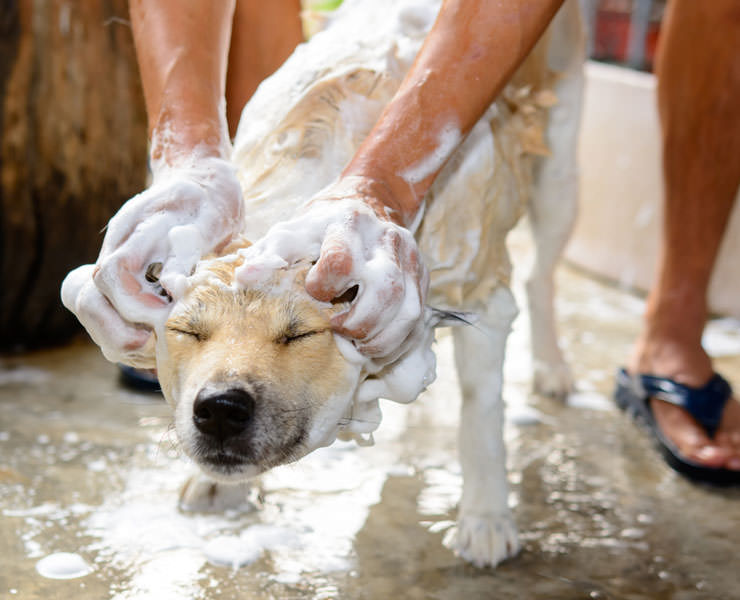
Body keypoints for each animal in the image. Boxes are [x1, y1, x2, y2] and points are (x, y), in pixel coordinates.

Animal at [62, 0, 584, 568]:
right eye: (188, 332)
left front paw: (486, 517)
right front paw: (219, 486)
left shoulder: (485, 294)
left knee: (539, 276)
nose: (220, 408)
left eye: (299, 335)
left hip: (559, 176)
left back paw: (553, 367)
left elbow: (481, 409)